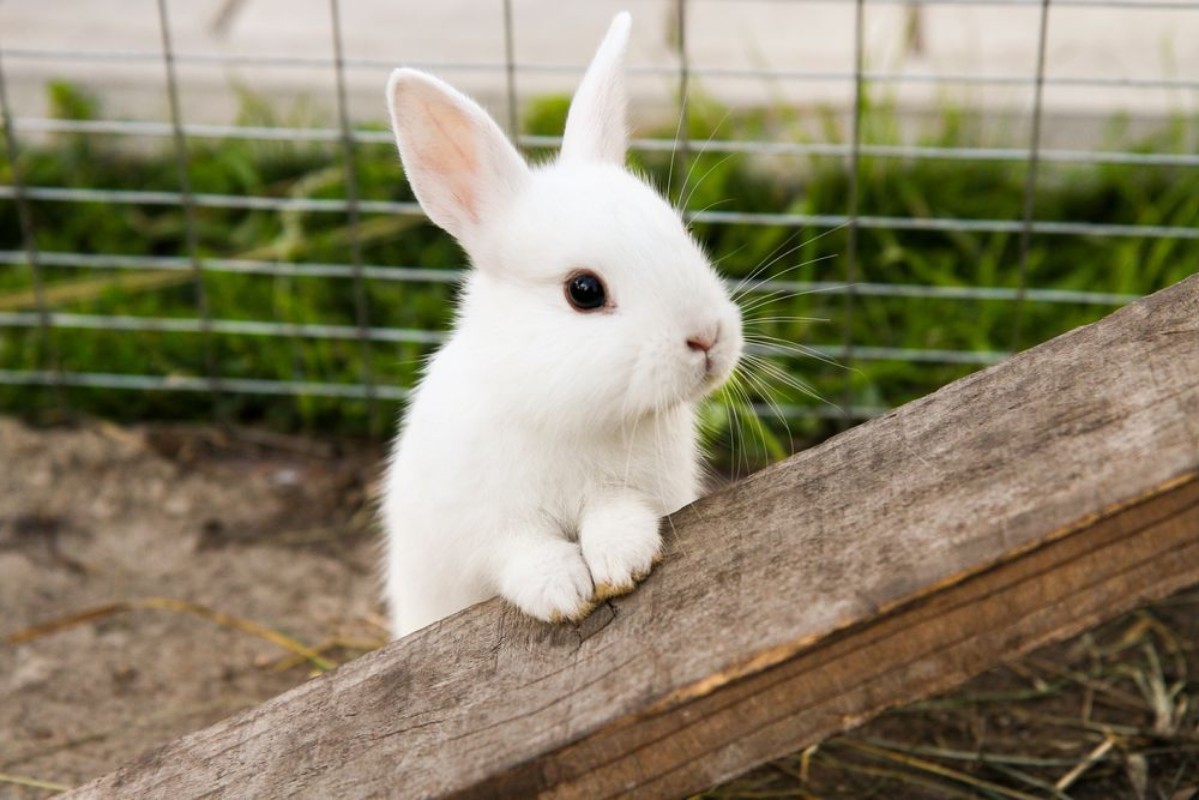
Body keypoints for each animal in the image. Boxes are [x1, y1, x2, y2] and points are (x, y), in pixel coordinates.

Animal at [381, 11, 743, 638]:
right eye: (584, 291)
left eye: (680, 232)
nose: (707, 339)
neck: (567, 415)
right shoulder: (486, 529)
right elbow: (522, 553)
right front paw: (563, 591)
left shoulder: (635, 490)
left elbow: (617, 514)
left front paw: (621, 561)